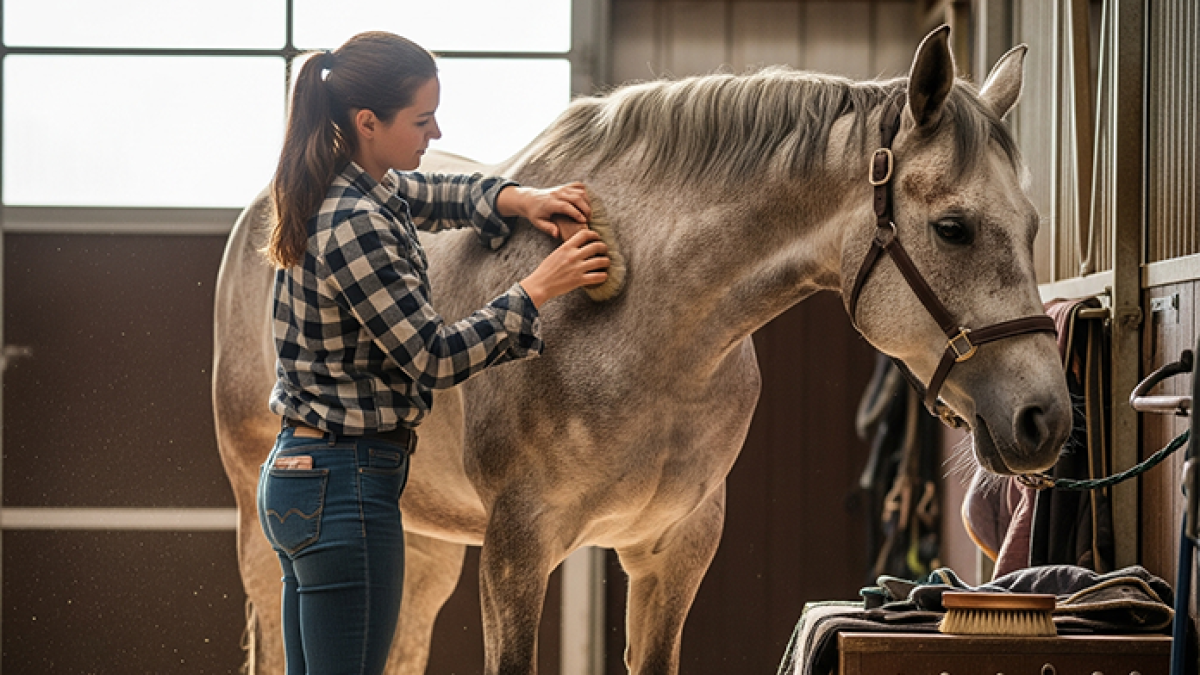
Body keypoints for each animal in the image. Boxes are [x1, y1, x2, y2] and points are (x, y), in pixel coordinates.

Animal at [213, 26, 1071, 674]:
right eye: (953, 228)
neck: (648, 332)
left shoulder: (674, 549)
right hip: (265, 534)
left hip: (422, 542)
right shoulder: (517, 548)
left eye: (1033, 226)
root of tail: (267, 214)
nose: (1046, 418)